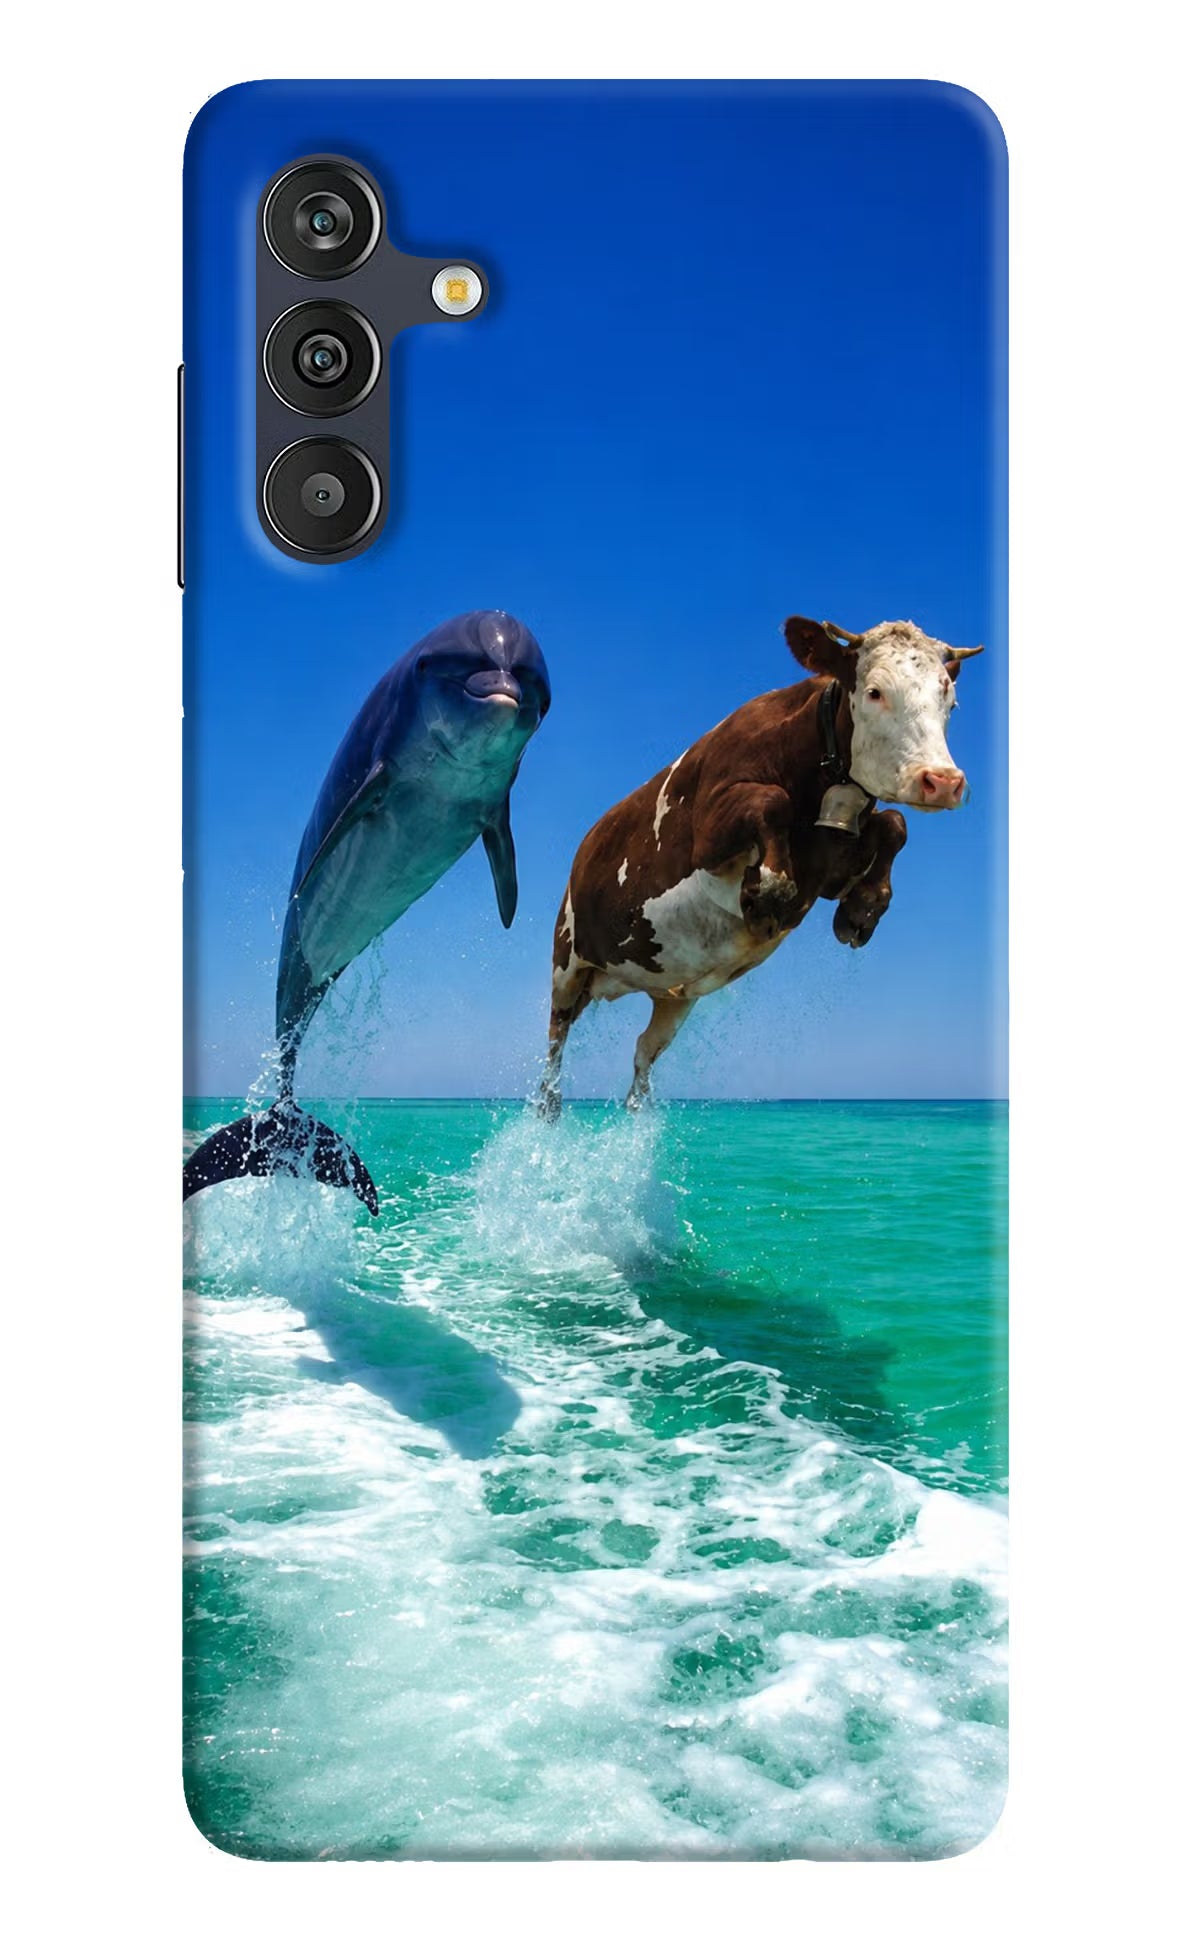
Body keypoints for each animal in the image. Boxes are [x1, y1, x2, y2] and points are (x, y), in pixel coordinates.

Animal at [536, 614, 983, 1117]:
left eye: (950, 699)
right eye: (874, 691)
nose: (942, 781)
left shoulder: (829, 867)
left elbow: (894, 823)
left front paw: (862, 909)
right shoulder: (708, 833)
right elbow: (772, 801)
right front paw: (767, 893)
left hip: (672, 995)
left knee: (643, 1053)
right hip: (566, 962)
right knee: (554, 1043)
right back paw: (548, 1106)